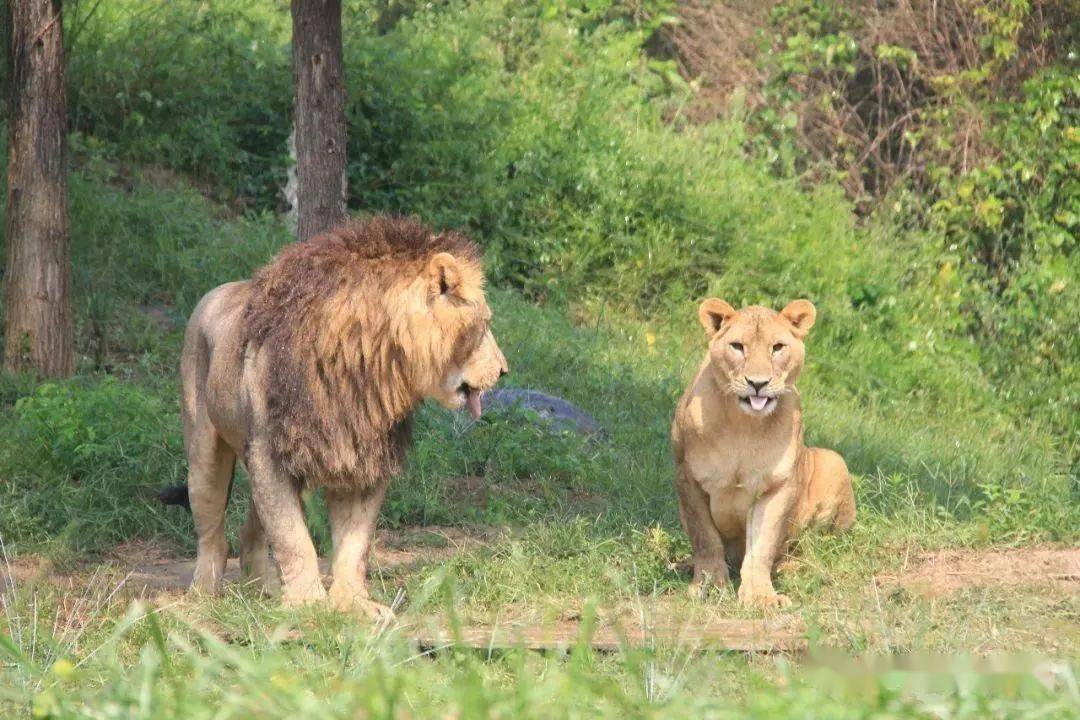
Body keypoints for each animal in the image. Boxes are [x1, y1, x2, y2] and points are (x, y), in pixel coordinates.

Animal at [176, 215, 505, 621]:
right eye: (484, 323)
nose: (504, 370)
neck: (370, 366)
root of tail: (217, 292)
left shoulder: (364, 455)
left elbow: (354, 541)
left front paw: (353, 603)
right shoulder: (270, 451)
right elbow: (292, 536)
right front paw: (307, 604)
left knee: (252, 528)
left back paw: (265, 590)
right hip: (205, 446)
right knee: (211, 528)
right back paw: (202, 594)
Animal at [669, 297, 855, 608]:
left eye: (777, 347)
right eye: (737, 346)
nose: (758, 383)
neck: (745, 426)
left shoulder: (777, 486)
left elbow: (762, 545)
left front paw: (760, 596)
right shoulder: (688, 477)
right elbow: (705, 538)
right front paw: (708, 586)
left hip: (833, 461)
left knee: (813, 546)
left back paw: (792, 568)